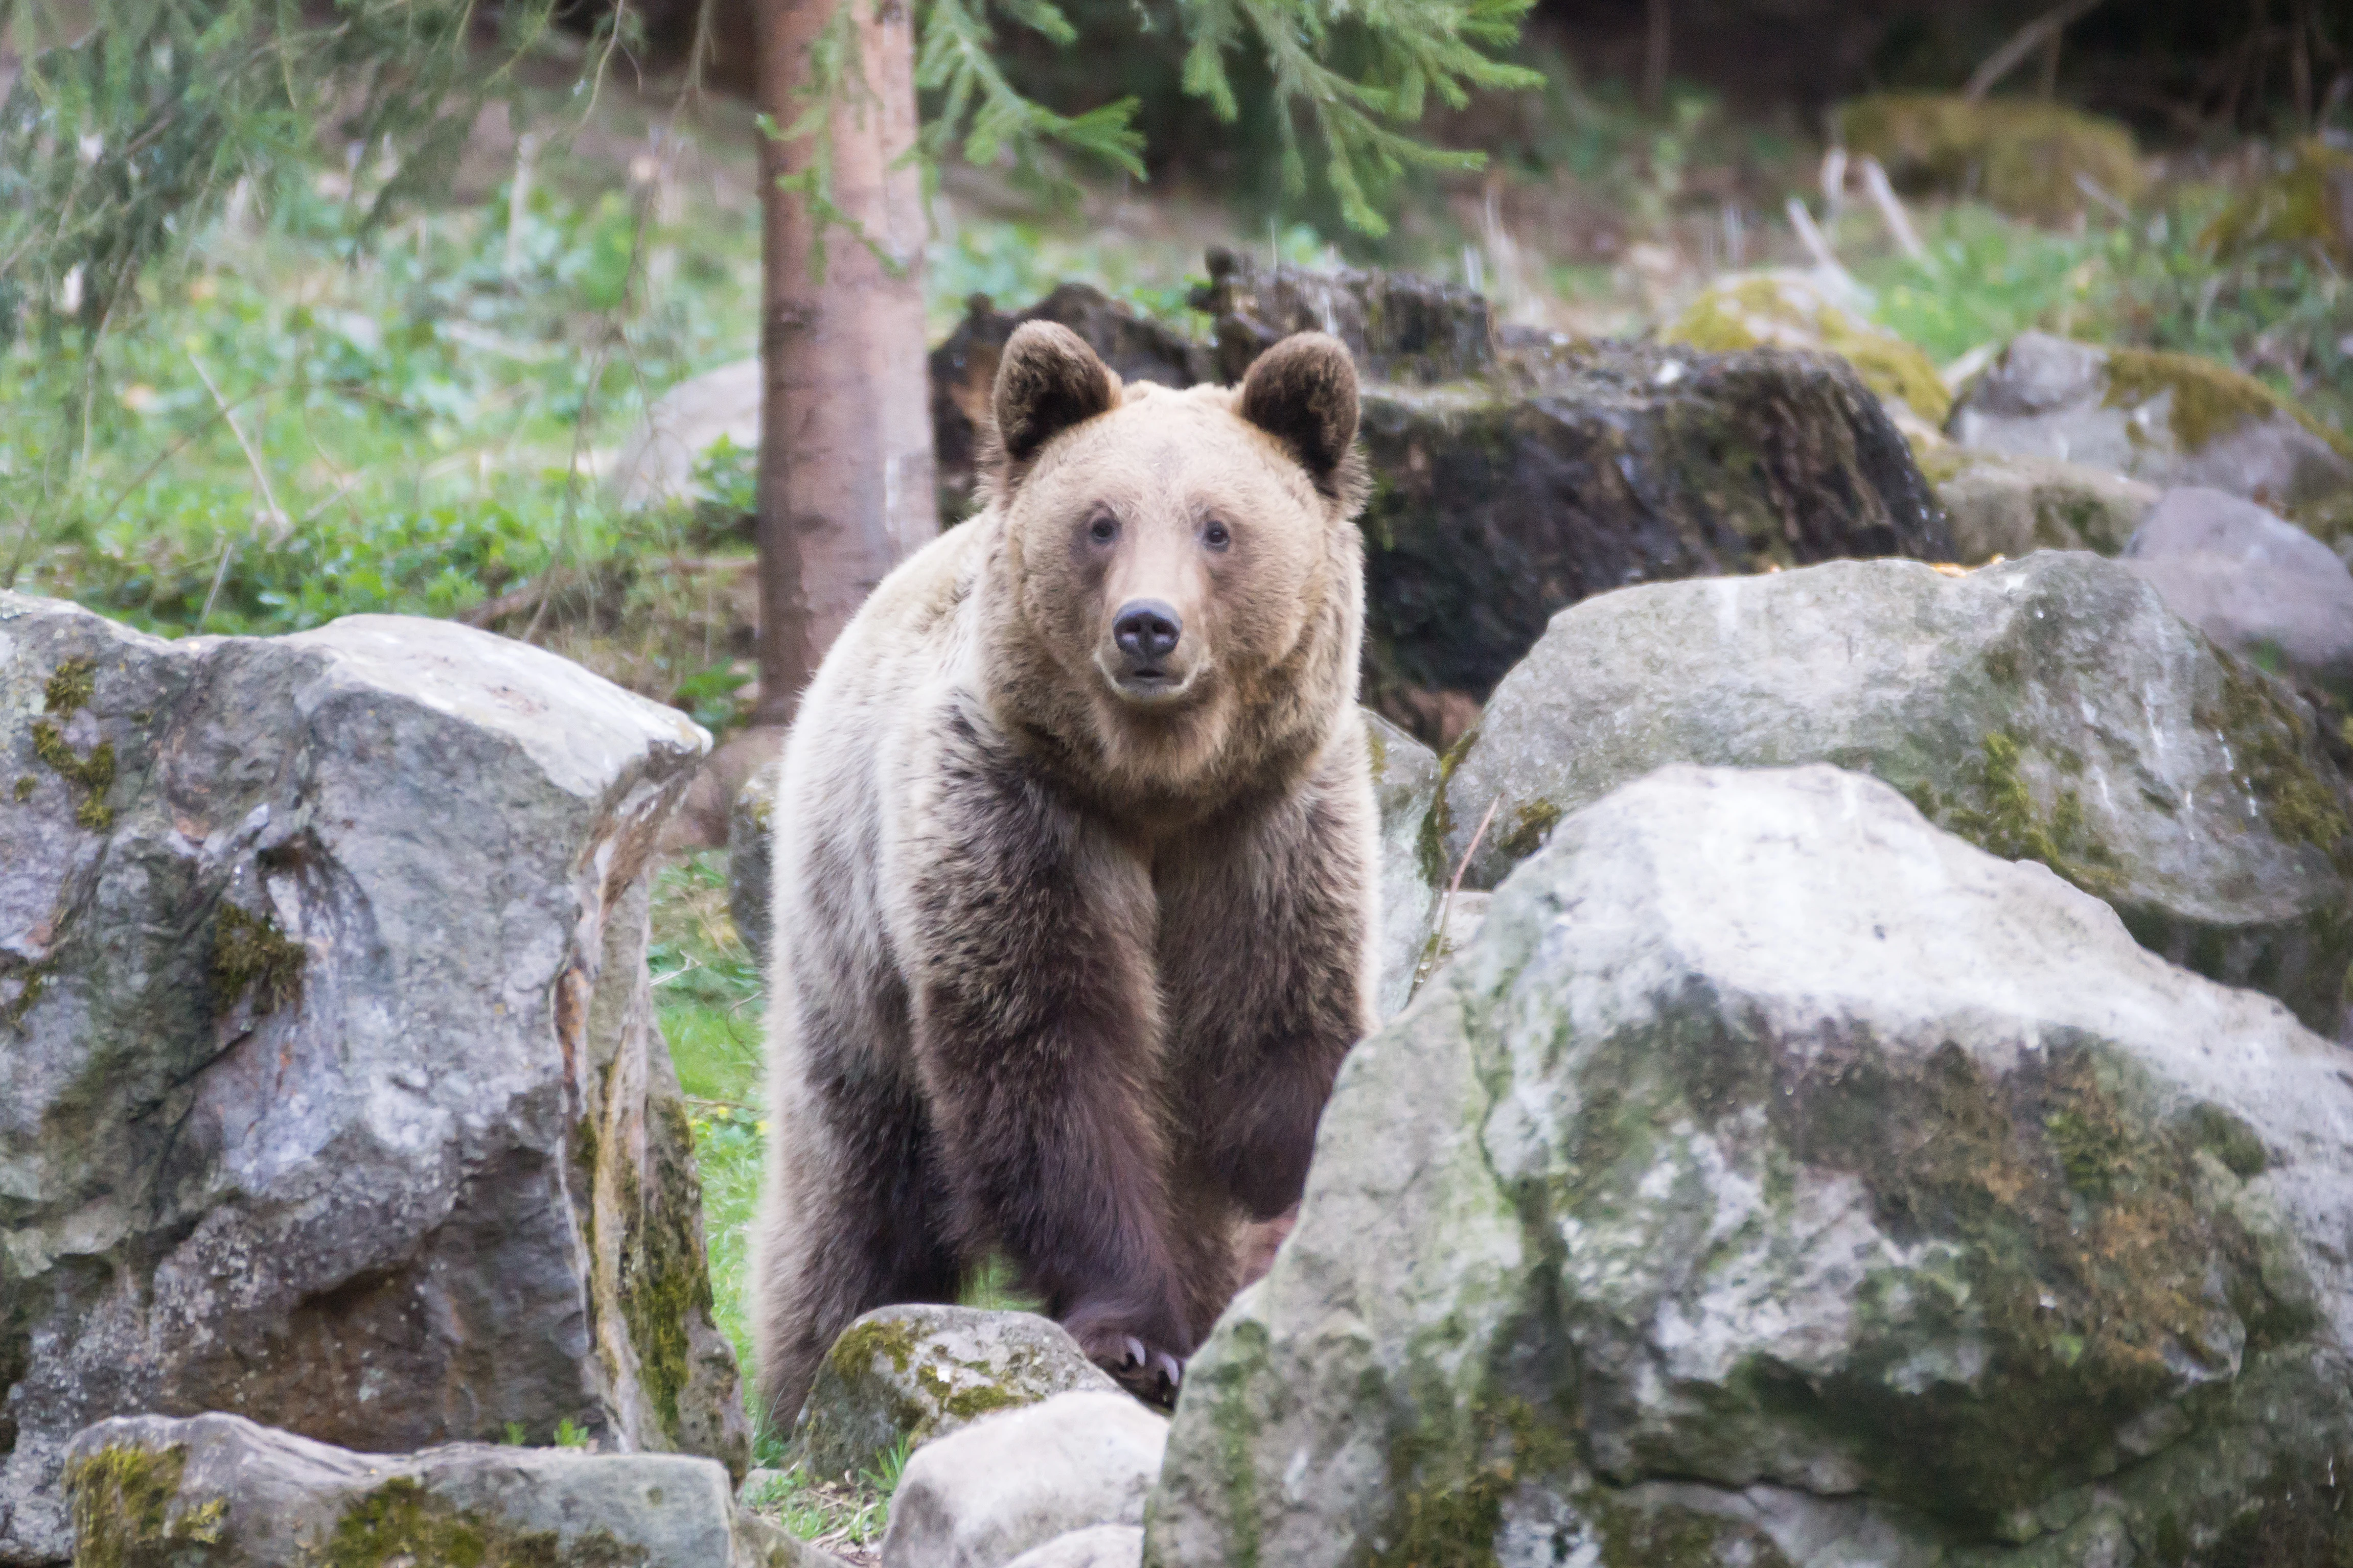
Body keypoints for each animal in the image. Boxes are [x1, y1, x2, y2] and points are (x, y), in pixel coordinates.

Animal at [750, 323, 1380, 1427]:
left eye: (1217, 529)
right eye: (1099, 523)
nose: (1147, 626)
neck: (1157, 786)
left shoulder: (1269, 830)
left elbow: (1282, 1049)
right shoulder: (1019, 816)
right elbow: (1049, 1055)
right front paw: (1136, 1337)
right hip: (846, 953)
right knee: (854, 1194)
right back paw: (803, 1379)